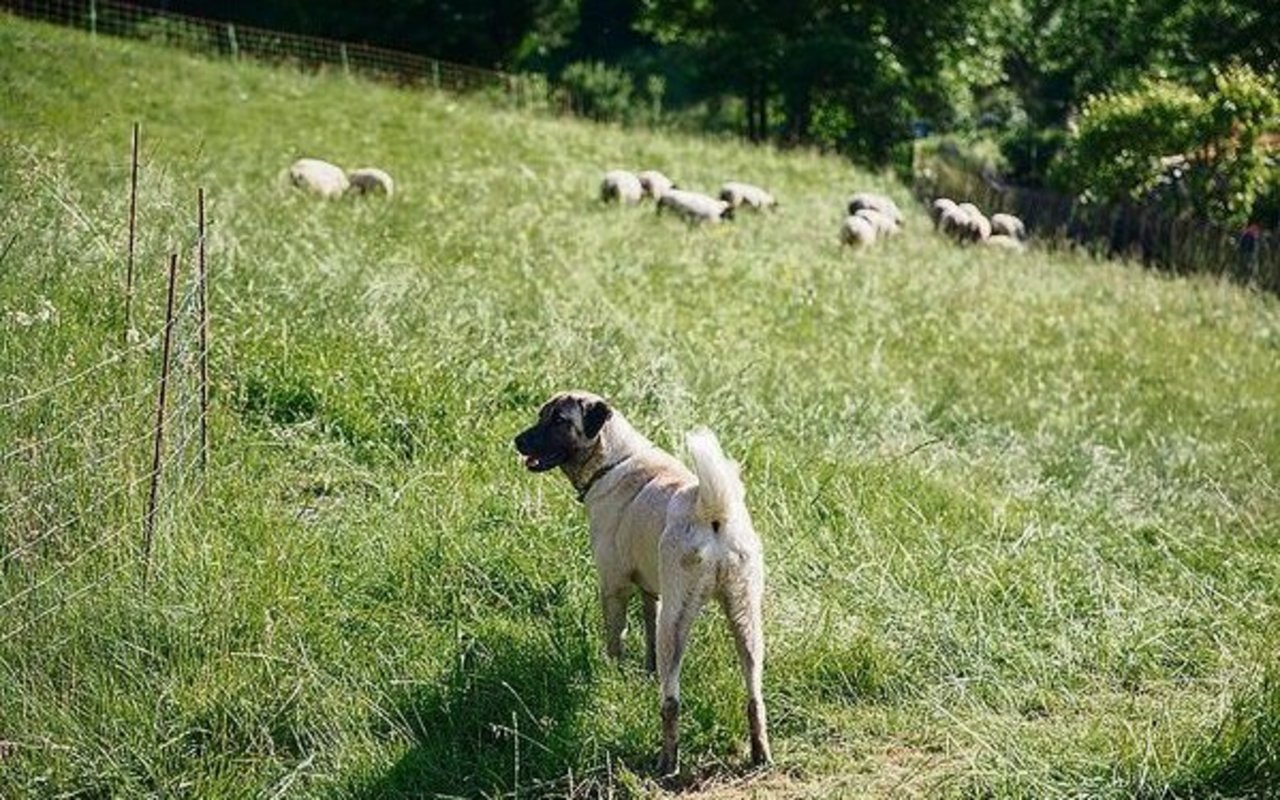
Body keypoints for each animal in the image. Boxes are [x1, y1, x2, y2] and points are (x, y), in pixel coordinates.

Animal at [512, 391, 768, 773]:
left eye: (558, 420)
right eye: (541, 415)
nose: (517, 441)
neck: (613, 460)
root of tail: (712, 513)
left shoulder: (613, 589)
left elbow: (614, 643)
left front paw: (613, 678)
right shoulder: (652, 594)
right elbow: (647, 637)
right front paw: (646, 675)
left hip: (676, 623)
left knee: (672, 702)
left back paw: (667, 762)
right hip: (745, 621)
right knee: (754, 697)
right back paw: (760, 755)